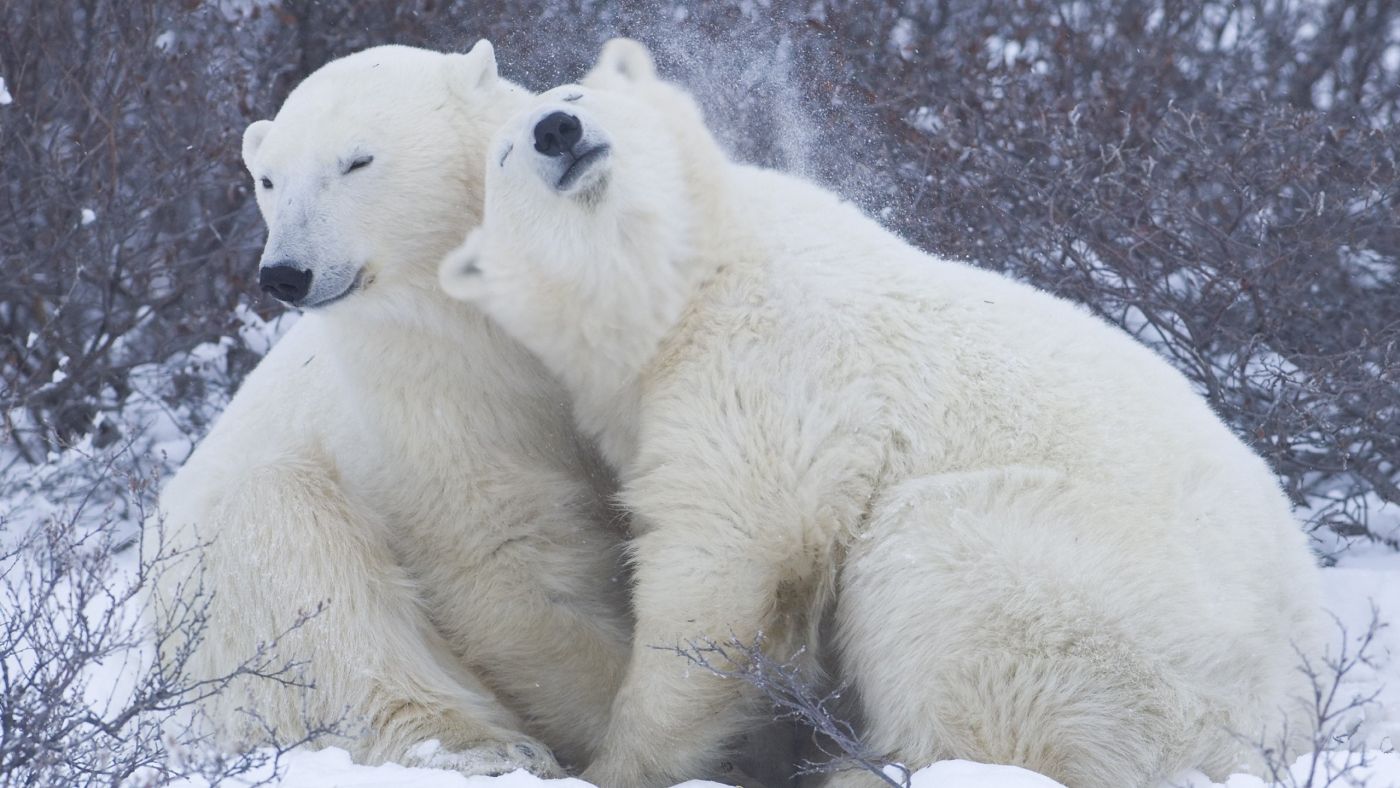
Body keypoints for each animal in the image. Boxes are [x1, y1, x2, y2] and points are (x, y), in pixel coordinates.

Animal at [151, 41, 630, 778]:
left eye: (357, 161)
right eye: (269, 180)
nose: (285, 273)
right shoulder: (426, 395)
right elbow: (507, 558)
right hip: (220, 597)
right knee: (307, 575)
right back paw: (483, 747)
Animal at [442, 38, 1327, 788]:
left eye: (575, 94)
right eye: (505, 153)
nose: (558, 131)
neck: (691, 282)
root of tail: (1281, 718)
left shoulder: (769, 362)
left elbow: (726, 556)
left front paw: (621, 762)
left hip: (1109, 621)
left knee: (940, 578)